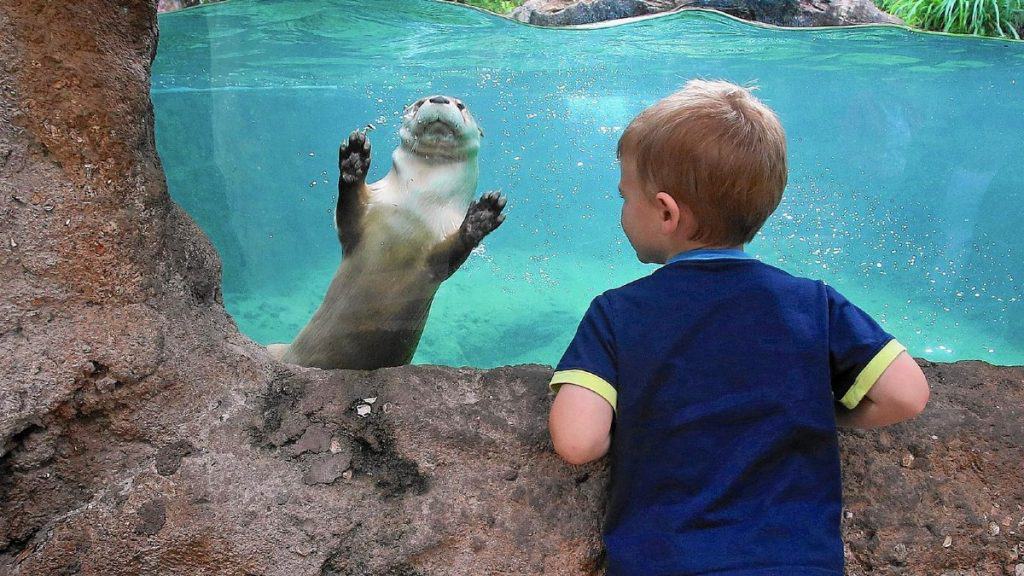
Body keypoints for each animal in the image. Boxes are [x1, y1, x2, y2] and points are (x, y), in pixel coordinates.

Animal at [264, 94, 503, 366]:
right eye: (419, 102)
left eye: (461, 106)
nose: (440, 98)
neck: (415, 204)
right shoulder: (365, 216)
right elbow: (347, 211)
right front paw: (354, 159)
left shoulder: (440, 243)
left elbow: (449, 256)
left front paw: (481, 216)